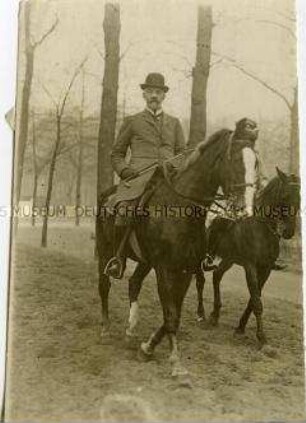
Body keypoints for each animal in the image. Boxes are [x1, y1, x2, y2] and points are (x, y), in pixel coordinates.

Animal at [97, 130, 256, 380]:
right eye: (236, 160)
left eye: (255, 162)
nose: (244, 209)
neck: (181, 208)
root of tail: (108, 193)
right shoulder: (164, 268)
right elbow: (170, 315)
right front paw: (176, 363)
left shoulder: (186, 269)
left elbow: (174, 312)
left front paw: (147, 348)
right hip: (106, 251)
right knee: (104, 286)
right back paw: (105, 330)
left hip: (145, 261)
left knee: (134, 283)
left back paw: (131, 330)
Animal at [207, 170, 300, 348]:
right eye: (285, 196)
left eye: (299, 197)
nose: (289, 232)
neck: (262, 229)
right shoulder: (250, 266)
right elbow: (257, 302)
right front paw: (262, 337)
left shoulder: (266, 269)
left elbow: (253, 299)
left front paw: (241, 327)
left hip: (229, 259)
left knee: (216, 276)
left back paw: (215, 315)